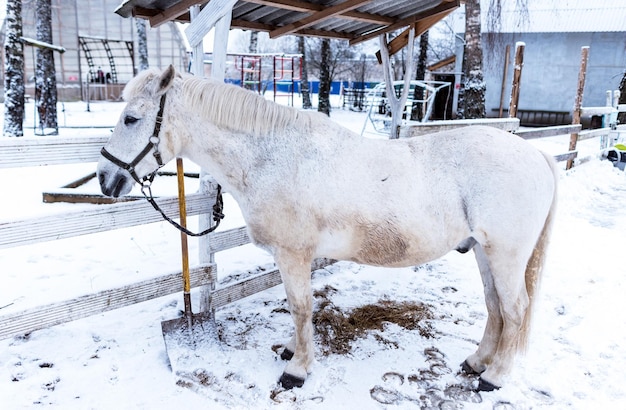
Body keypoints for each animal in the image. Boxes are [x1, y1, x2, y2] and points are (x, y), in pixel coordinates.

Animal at [96, 65, 556, 392]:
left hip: (505, 255)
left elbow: (301, 308)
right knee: (496, 307)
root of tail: (534, 154)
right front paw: (290, 351)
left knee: (515, 310)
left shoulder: (293, 255)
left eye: (132, 118)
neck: (273, 157)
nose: (104, 178)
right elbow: (296, 307)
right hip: (483, 251)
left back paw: (493, 377)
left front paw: (298, 369)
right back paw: (476, 363)